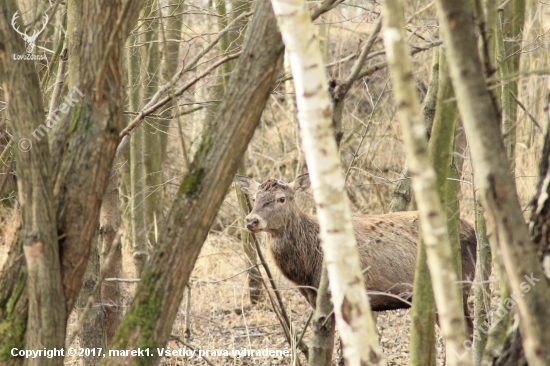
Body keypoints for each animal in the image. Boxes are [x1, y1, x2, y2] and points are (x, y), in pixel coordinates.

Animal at [236, 175, 478, 360]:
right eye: (254, 197)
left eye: (281, 198)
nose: (251, 220)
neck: (306, 270)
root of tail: (472, 228)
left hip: (460, 284)